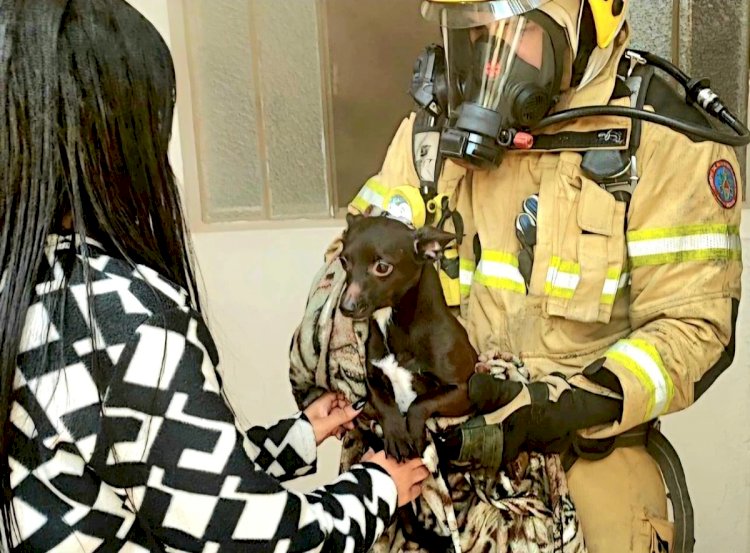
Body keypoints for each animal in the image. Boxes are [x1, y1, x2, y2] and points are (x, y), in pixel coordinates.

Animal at [340, 213, 478, 460]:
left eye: (382, 267)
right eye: (343, 262)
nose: (345, 307)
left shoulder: (464, 391)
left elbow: (421, 402)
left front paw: (413, 433)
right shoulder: (372, 380)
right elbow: (384, 402)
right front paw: (397, 434)